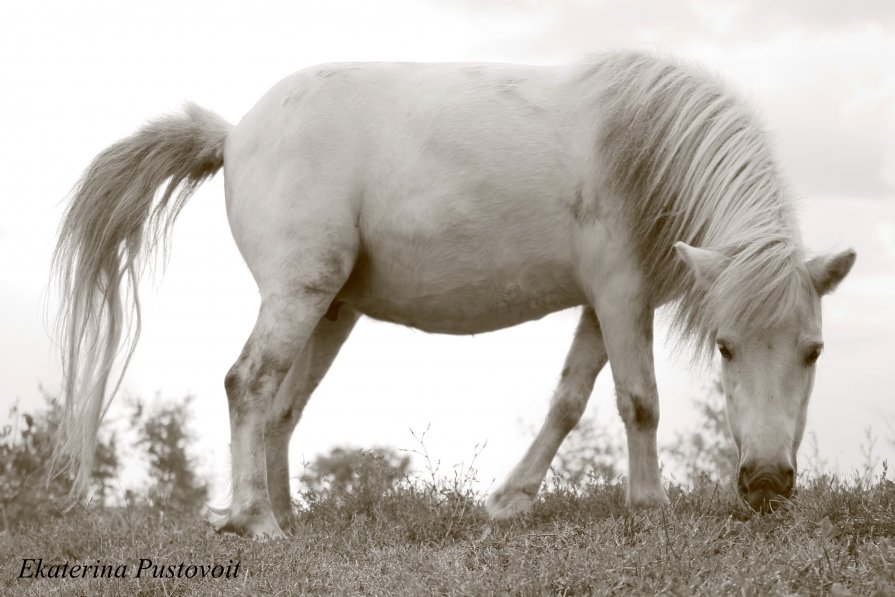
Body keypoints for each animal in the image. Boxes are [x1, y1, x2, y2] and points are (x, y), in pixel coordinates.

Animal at [54, 51, 856, 536]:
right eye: (725, 346)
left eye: (814, 351)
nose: (766, 482)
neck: (642, 149)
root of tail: (233, 133)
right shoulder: (622, 297)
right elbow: (639, 401)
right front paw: (648, 507)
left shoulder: (602, 306)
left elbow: (568, 400)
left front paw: (508, 501)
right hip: (297, 293)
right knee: (247, 383)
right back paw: (257, 522)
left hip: (330, 310)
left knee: (281, 407)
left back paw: (286, 514)